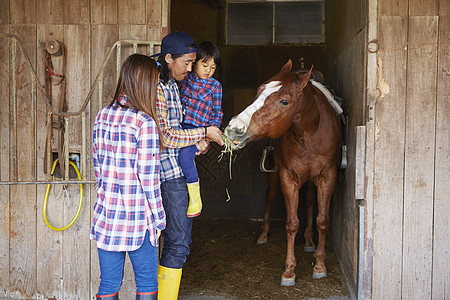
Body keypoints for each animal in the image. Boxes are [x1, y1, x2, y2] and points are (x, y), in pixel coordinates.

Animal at [223, 59, 342, 286]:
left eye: (284, 101)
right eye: (259, 90)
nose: (234, 128)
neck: (310, 133)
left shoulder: (327, 177)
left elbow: (322, 221)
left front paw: (319, 265)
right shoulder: (288, 177)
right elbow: (291, 223)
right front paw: (289, 271)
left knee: (310, 202)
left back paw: (309, 240)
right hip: (273, 173)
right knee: (269, 196)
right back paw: (263, 234)